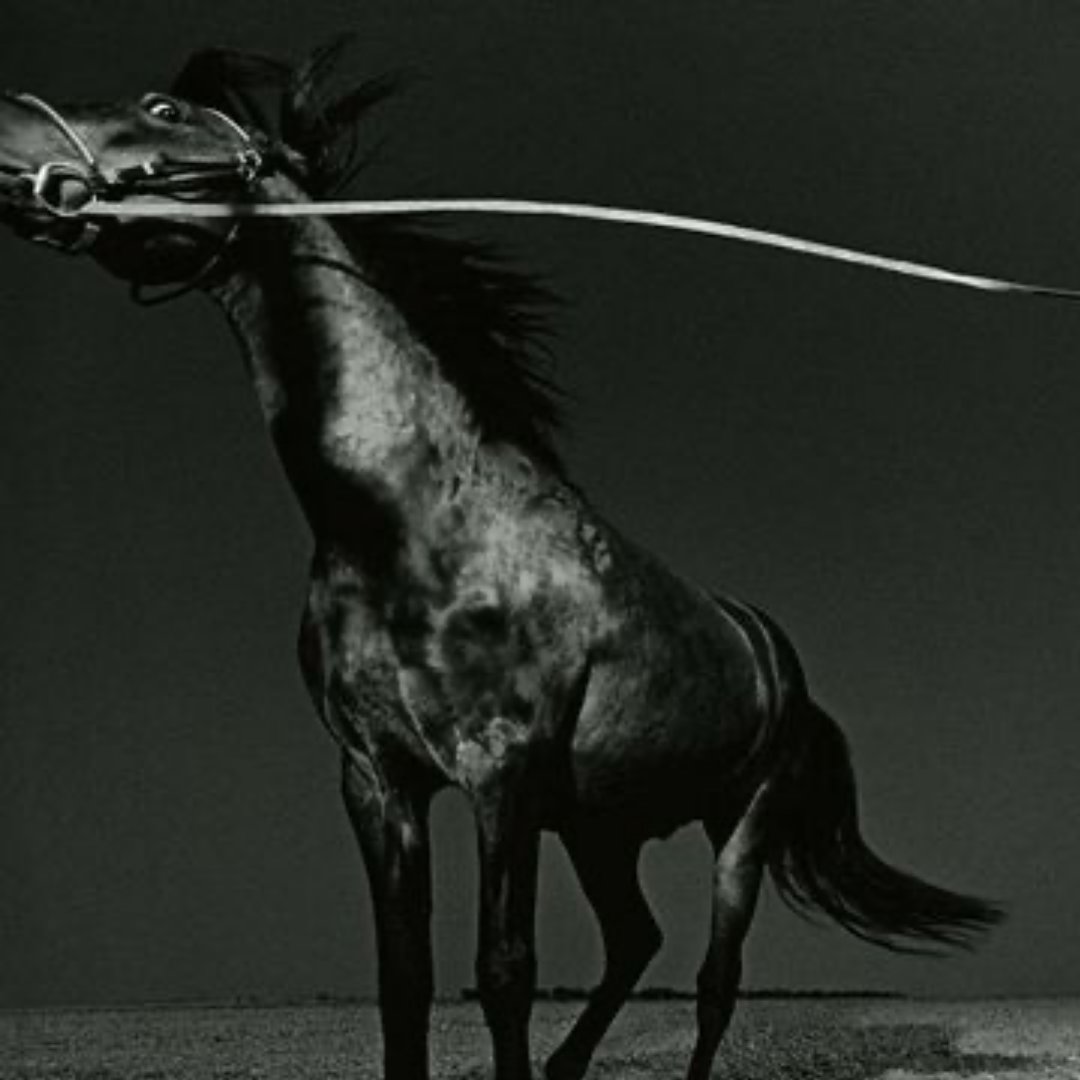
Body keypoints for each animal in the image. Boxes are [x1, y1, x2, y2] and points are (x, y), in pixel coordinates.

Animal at [0, 42, 1002, 1080]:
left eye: (163, 109)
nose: (6, 131)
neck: (412, 528)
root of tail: (773, 655)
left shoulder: (501, 774)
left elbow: (505, 970)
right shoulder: (377, 779)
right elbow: (405, 980)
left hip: (740, 826)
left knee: (714, 983)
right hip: (601, 827)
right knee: (634, 938)